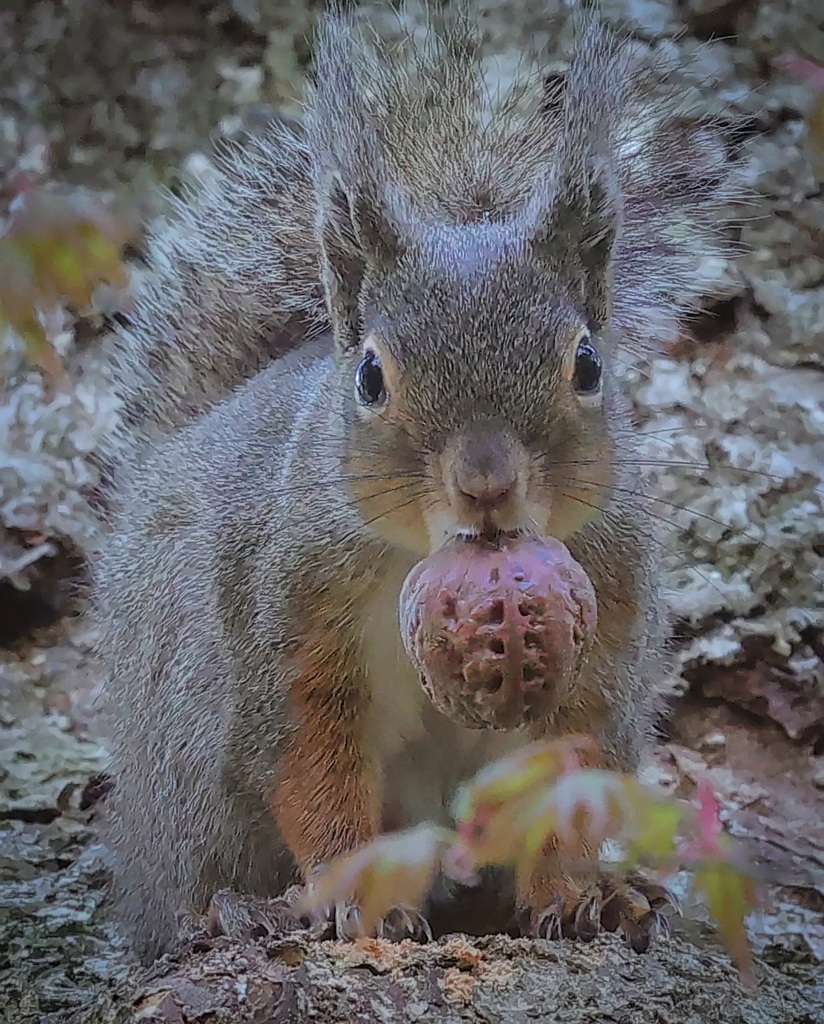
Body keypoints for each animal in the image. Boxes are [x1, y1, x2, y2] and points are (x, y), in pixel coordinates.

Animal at [93, 2, 736, 966]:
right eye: (369, 377)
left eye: (588, 364)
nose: (486, 483)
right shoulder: (292, 633)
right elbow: (312, 768)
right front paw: (359, 899)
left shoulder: (606, 615)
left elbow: (569, 777)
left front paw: (578, 898)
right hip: (186, 758)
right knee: (187, 882)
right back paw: (229, 912)